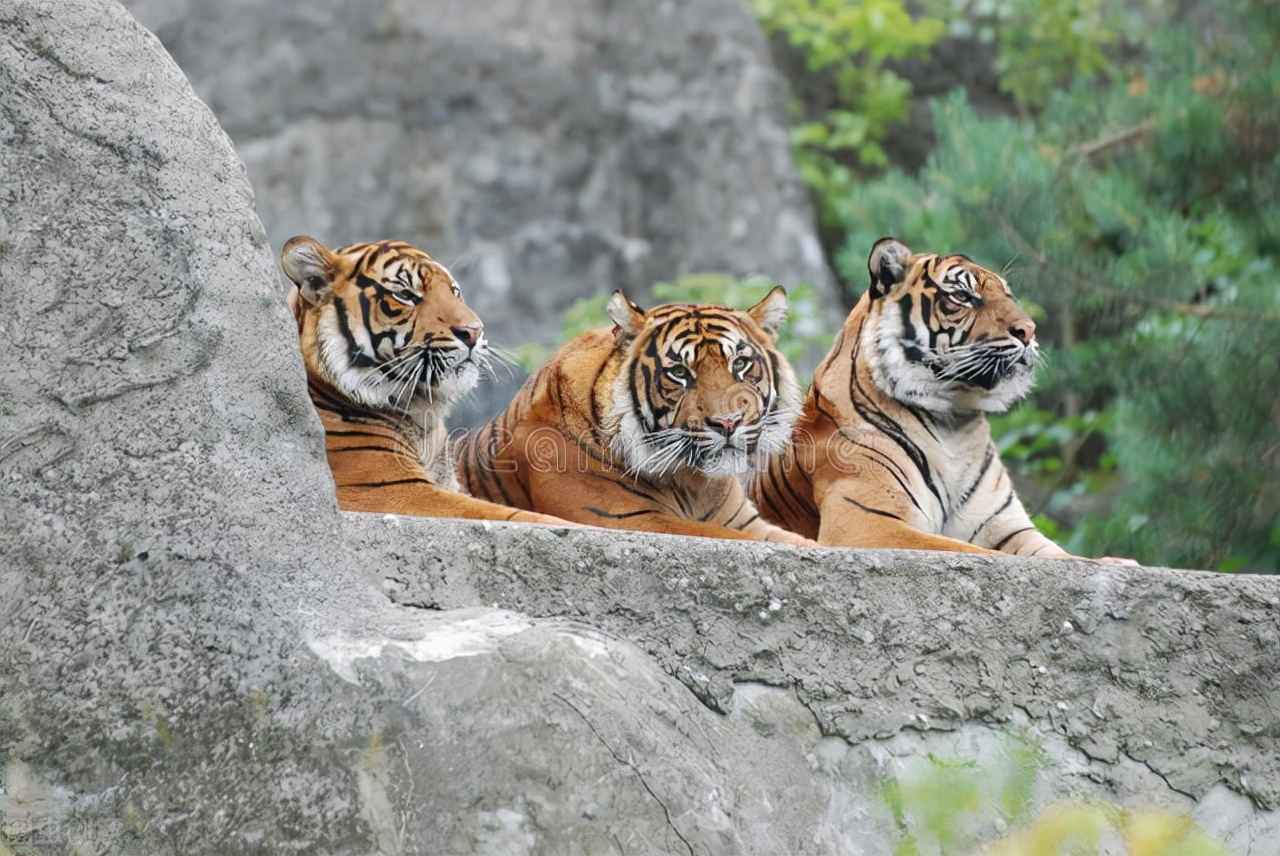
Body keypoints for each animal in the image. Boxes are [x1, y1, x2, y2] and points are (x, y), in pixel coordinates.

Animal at [280, 235, 568, 525]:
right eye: (405, 295)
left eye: (454, 291)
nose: (475, 331)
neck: (423, 417)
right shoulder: (392, 491)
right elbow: (520, 516)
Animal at [452, 289, 816, 545]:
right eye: (680, 372)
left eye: (740, 364)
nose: (728, 423)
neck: (693, 481)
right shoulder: (627, 518)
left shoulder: (745, 521)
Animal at [751, 237, 1129, 561]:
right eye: (963, 296)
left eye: (1008, 295)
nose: (1029, 331)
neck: (955, 422)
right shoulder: (866, 520)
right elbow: (971, 551)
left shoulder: (1010, 528)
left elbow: (1066, 557)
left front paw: (1116, 562)